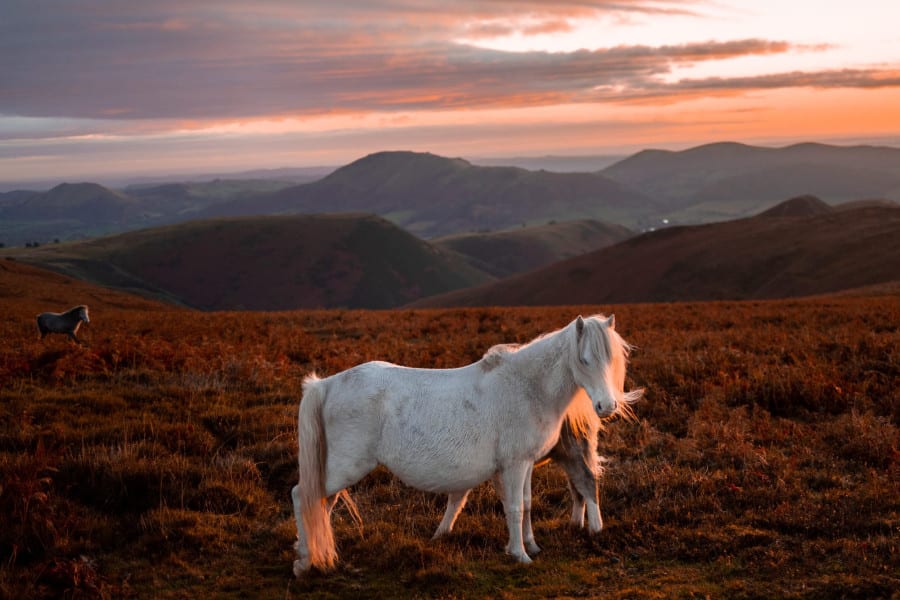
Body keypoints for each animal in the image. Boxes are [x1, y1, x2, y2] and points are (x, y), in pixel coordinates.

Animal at [433, 335, 642, 539]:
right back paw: (575, 524)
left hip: (572, 449)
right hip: (566, 453)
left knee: (586, 480)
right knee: (576, 486)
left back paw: (595, 528)